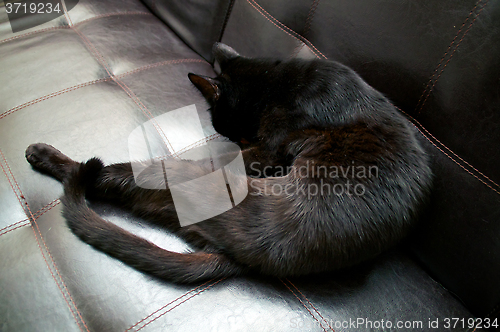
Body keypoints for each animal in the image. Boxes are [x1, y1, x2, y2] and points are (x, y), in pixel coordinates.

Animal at [25, 43, 432, 282]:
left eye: (241, 138)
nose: (239, 142)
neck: (278, 82)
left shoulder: (270, 147)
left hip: (175, 176)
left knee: (102, 175)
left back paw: (43, 154)